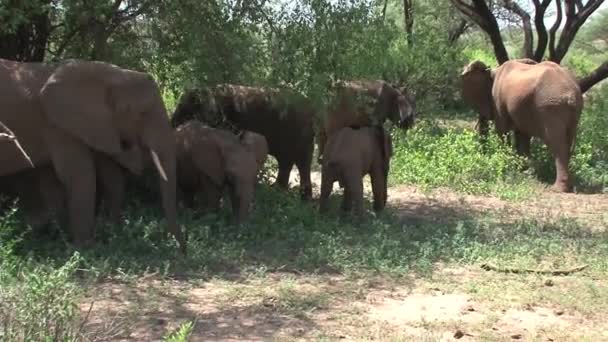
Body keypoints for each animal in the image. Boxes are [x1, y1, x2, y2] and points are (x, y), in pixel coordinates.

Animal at [0, 57, 185, 252]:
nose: (183, 251)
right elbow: (80, 175)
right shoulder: (58, 126)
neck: (112, 74)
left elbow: (105, 175)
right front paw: (85, 248)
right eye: (142, 113)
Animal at [170, 83, 316, 200]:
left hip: (298, 133)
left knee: (297, 162)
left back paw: (294, 195)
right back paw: (283, 192)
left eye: (185, 112)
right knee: (292, 162)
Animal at [460, 59, 584, 192]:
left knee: (557, 144)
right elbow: (522, 136)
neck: (492, 70)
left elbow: (502, 131)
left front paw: (507, 166)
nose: (483, 157)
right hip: (571, 112)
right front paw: (523, 172)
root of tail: (572, 94)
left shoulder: (498, 101)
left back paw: (557, 189)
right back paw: (568, 186)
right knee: (567, 143)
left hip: (552, 108)